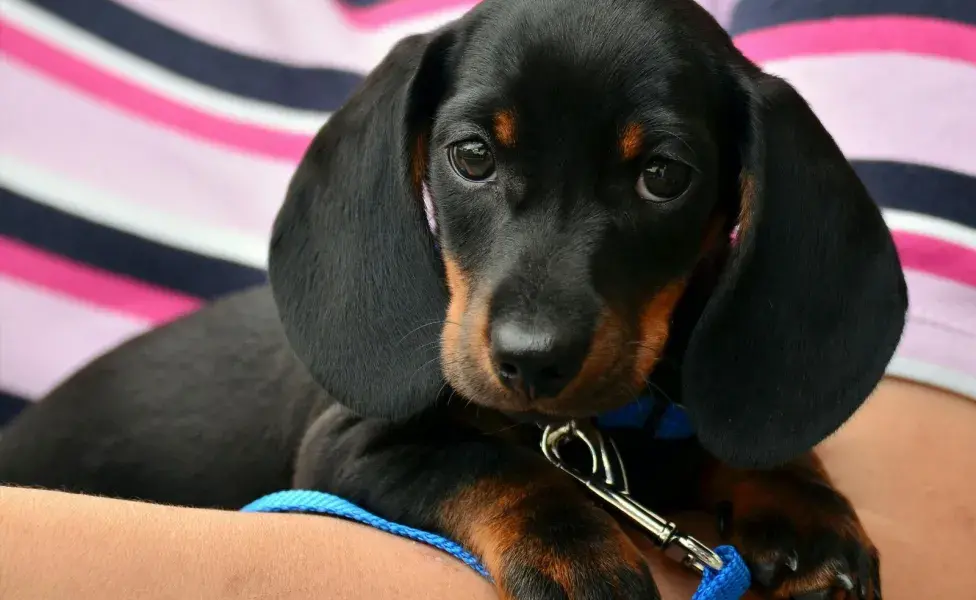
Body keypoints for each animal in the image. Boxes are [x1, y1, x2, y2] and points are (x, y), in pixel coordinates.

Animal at [0, 2, 904, 596]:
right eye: (471, 155)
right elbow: (494, 465)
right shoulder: (350, 447)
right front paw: (577, 554)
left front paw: (801, 504)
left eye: (664, 175)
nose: (532, 362)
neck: (596, 435)